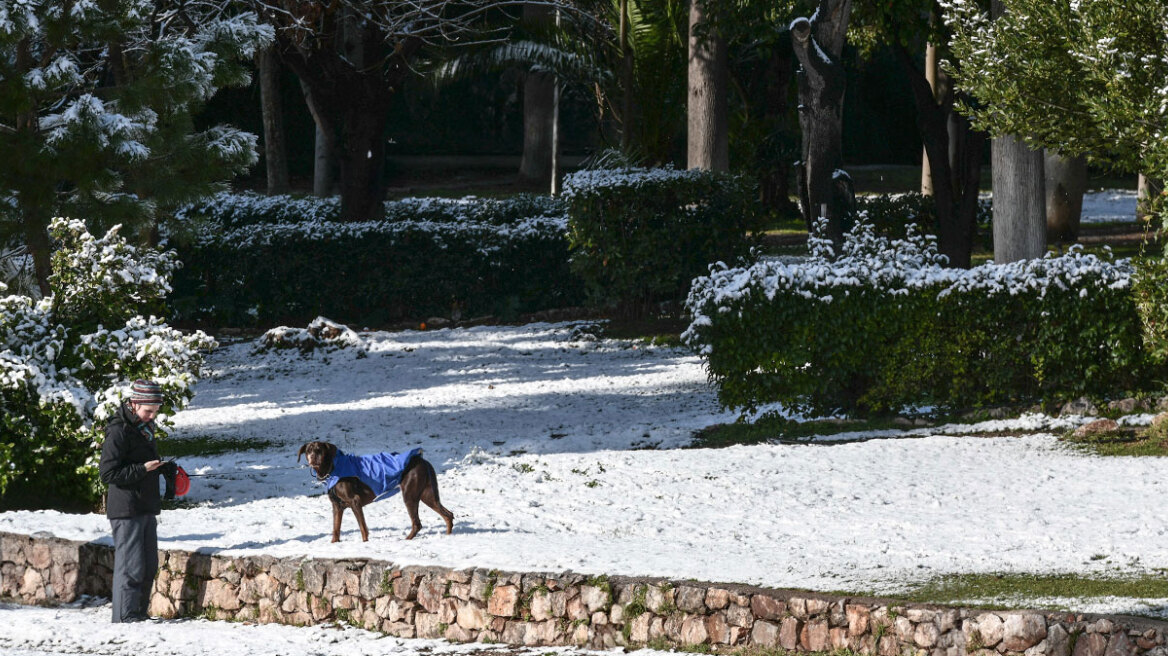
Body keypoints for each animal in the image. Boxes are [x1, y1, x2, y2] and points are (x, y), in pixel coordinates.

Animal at [294, 438, 453, 541]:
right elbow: (336, 529)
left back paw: (407, 539)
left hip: (410, 495)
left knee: (417, 523)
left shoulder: (355, 501)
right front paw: (335, 543)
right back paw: (448, 536)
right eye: (308, 450)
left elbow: (363, 529)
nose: (313, 457)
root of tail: (422, 460)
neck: (332, 468)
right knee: (448, 515)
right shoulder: (337, 506)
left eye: (319, 450)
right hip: (427, 494)